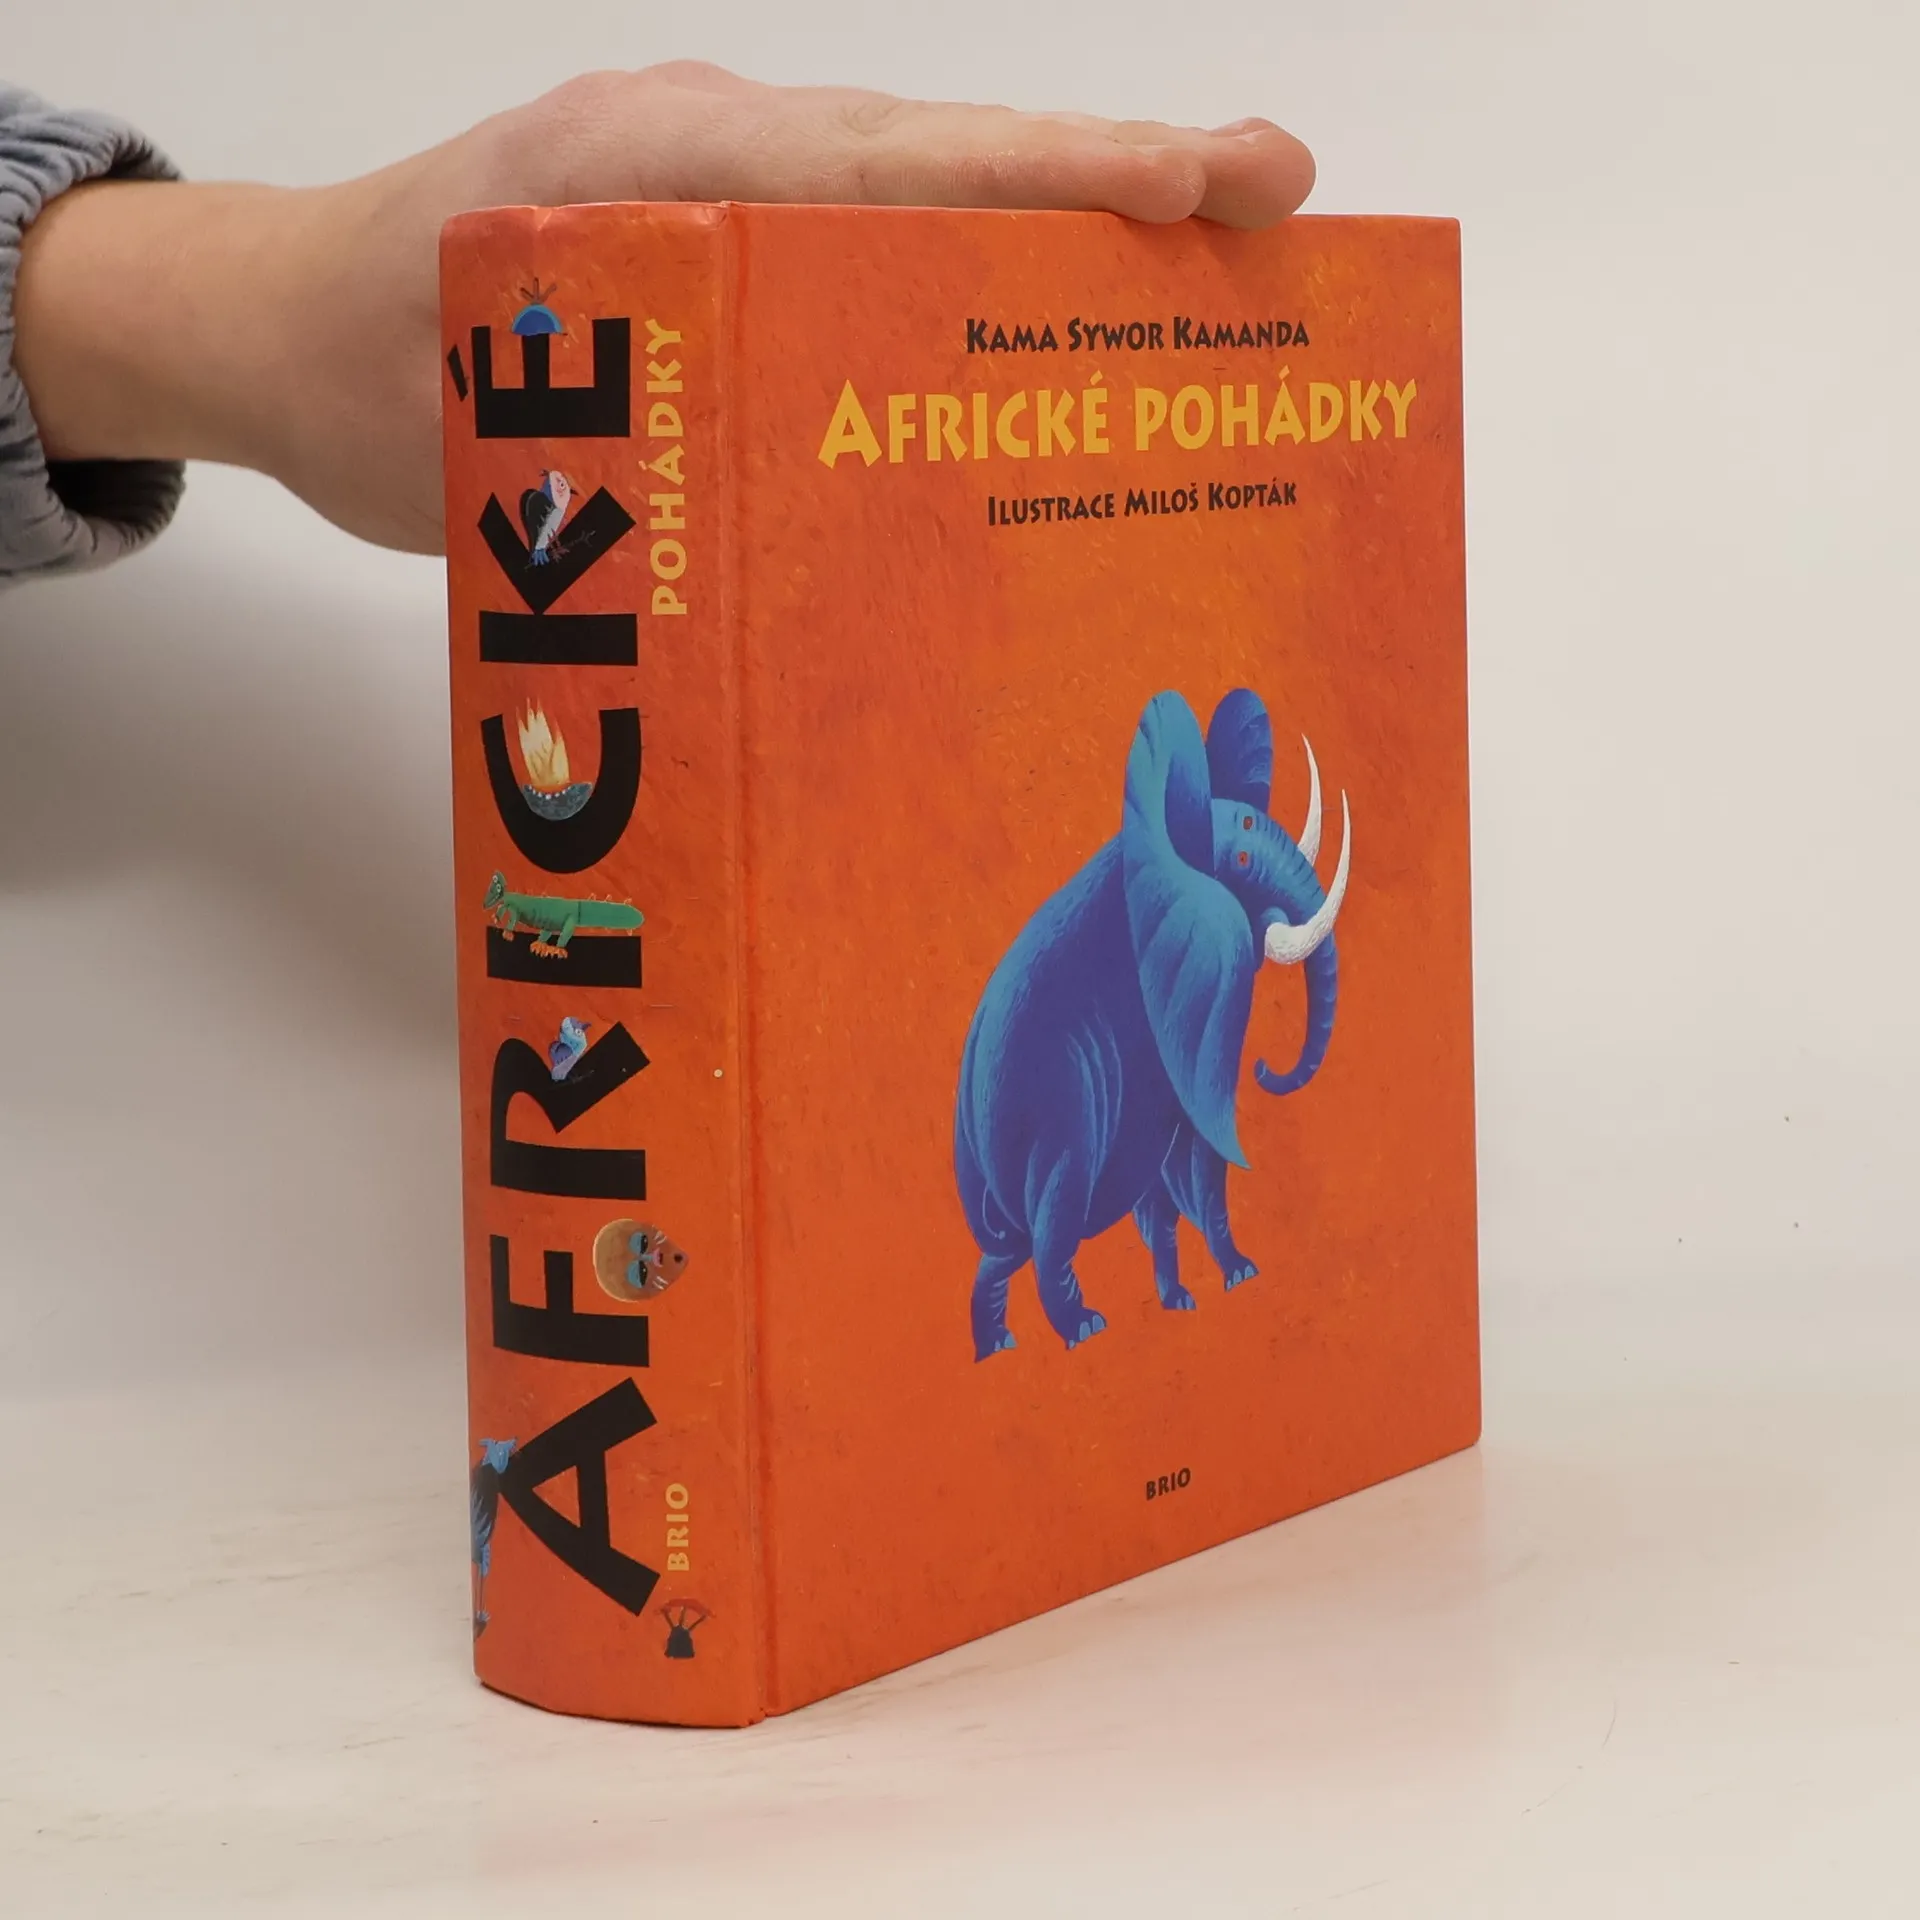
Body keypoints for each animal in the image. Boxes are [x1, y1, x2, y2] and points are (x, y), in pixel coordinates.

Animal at [953, 688, 1350, 1359]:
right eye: (1243, 855)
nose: (1266, 1069)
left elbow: (1183, 1164)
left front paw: (1231, 1279)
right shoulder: (1199, 991)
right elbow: (1205, 1141)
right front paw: (1239, 1277)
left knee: (1006, 1248)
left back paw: (1001, 1347)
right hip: (1056, 1112)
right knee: (1054, 1219)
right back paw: (1083, 1330)